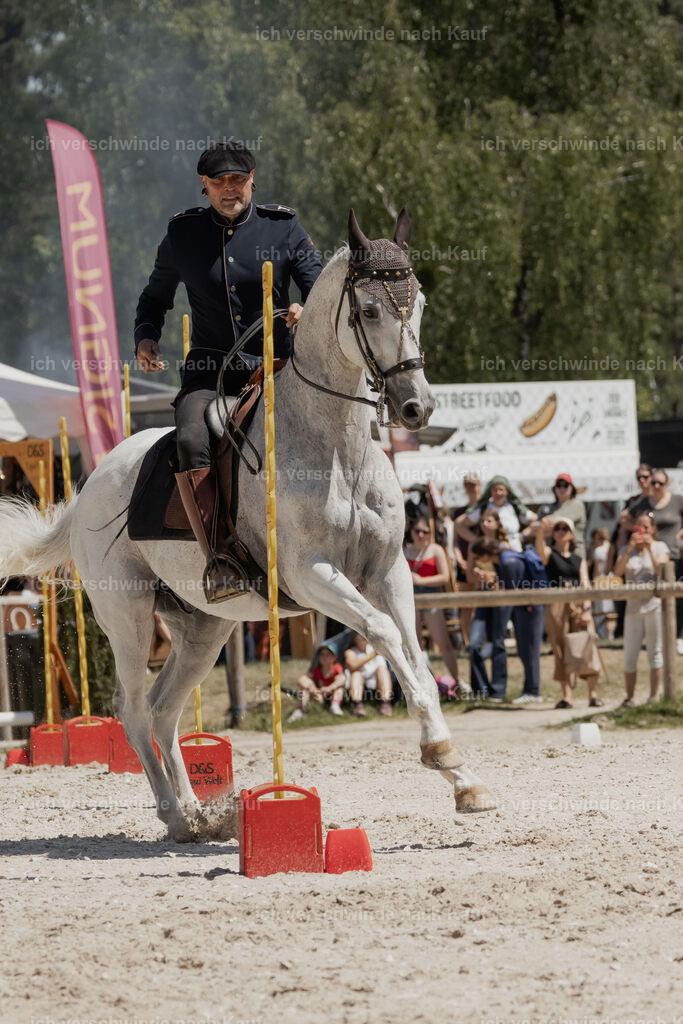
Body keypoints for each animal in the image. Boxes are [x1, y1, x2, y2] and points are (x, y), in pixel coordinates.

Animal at [0, 209, 496, 840]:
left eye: (421, 303)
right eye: (369, 310)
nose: (417, 408)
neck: (337, 449)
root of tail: (90, 486)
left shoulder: (389, 572)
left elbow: (419, 661)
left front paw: (464, 780)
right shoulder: (312, 575)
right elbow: (383, 633)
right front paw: (439, 752)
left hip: (202, 629)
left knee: (163, 711)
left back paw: (197, 814)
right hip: (127, 616)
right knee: (133, 709)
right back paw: (175, 815)